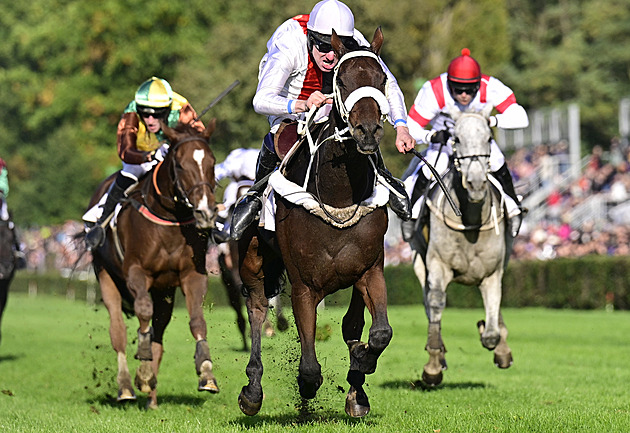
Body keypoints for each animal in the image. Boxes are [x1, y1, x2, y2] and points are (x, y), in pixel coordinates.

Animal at [86, 119, 220, 408]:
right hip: (105, 274)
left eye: (212, 161)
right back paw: (127, 386)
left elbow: (197, 321)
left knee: (158, 334)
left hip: (164, 291)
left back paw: (152, 397)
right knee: (119, 331)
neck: (169, 219)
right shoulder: (136, 272)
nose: (205, 212)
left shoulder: (192, 274)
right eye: (179, 164)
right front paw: (144, 371)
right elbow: (143, 313)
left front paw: (206, 373)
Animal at [238, 28, 392, 416]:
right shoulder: (304, 284)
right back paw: (252, 390)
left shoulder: (370, 269)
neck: (339, 195)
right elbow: (308, 366)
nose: (367, 131)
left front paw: (360, 372)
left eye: (381, 79)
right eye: (342, 79)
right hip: (253, 263)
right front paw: (307, 387)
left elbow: (376, 332)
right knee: (257, 311)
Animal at [412, 104, 516, 384]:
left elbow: (491, 330)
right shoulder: (437, 264)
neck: (470, 220)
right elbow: (436, 301)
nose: (476, 183)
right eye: (456, 139)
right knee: (427, 300)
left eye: (489, 138)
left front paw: (493, 338)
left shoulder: (492, 271)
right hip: (418, 259)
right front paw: (433, 366)